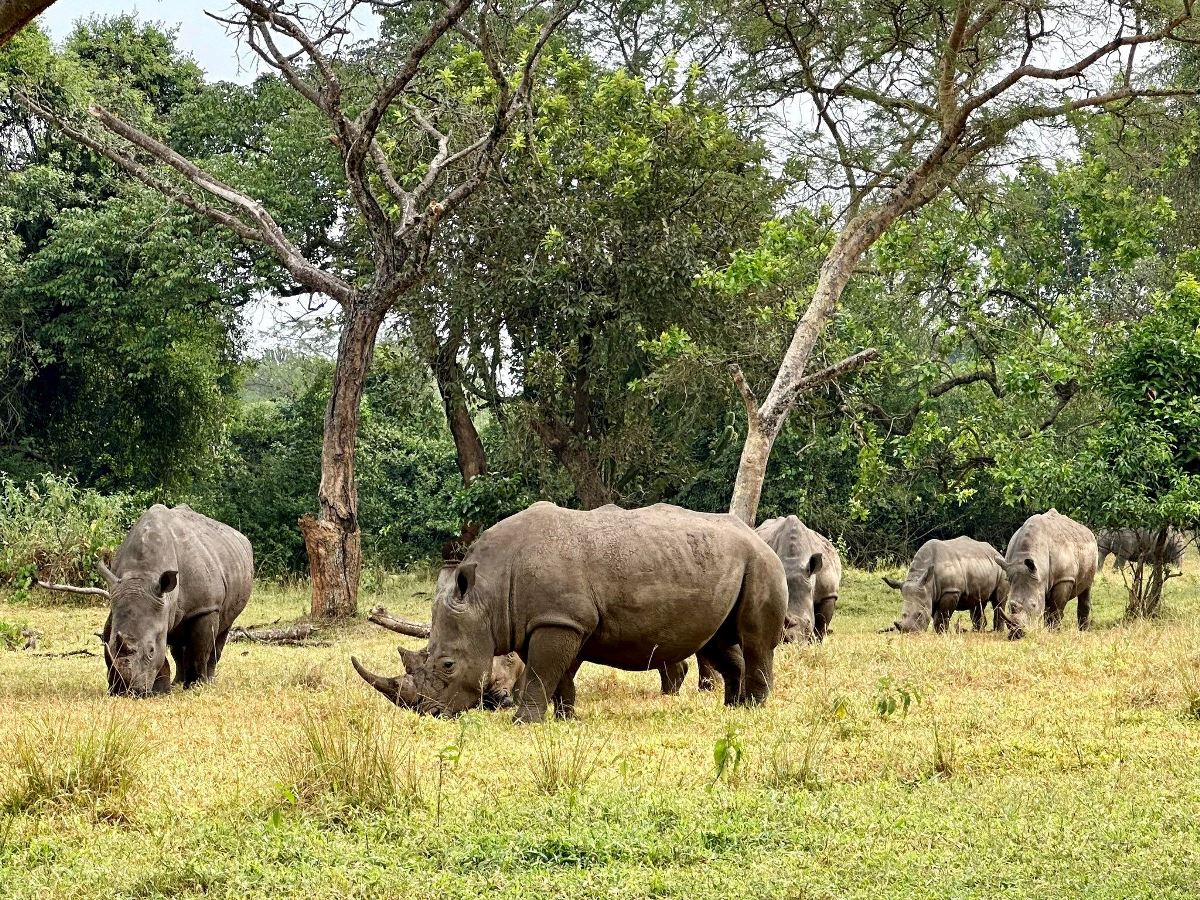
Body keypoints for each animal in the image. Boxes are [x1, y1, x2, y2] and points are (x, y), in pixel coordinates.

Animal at [99, 504, 253, 696]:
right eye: (110, 645)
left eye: (151, 650)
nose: (125, 691)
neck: (141, 576)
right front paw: (160, 690)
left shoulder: (205, 607)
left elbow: (199, 650)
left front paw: (196, 686)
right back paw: (176, 683)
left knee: (222, 630)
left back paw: (208, 681)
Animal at [352, 502, 787, 722]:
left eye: (446, 665)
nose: (428, 713)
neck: (487, 594)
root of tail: (755, 534)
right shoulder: (546, 621)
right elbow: (555, 674)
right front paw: (564, 718)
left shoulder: (559, 620)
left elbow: (540, 673)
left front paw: (524, 722)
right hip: (724, 563)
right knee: (715, 640)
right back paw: (733, 709)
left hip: (762, 562)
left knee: (753, 640)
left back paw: (754, 710)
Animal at [1002, 509, 1096, 639]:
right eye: (1010, 606)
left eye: (1033, 605)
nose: (1017, 634)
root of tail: (1088, 531)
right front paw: (1049, 631)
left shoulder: (1064, 578)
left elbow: (1056, 608)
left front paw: (1054, 632)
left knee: (1086, 588)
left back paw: (1083, 631)